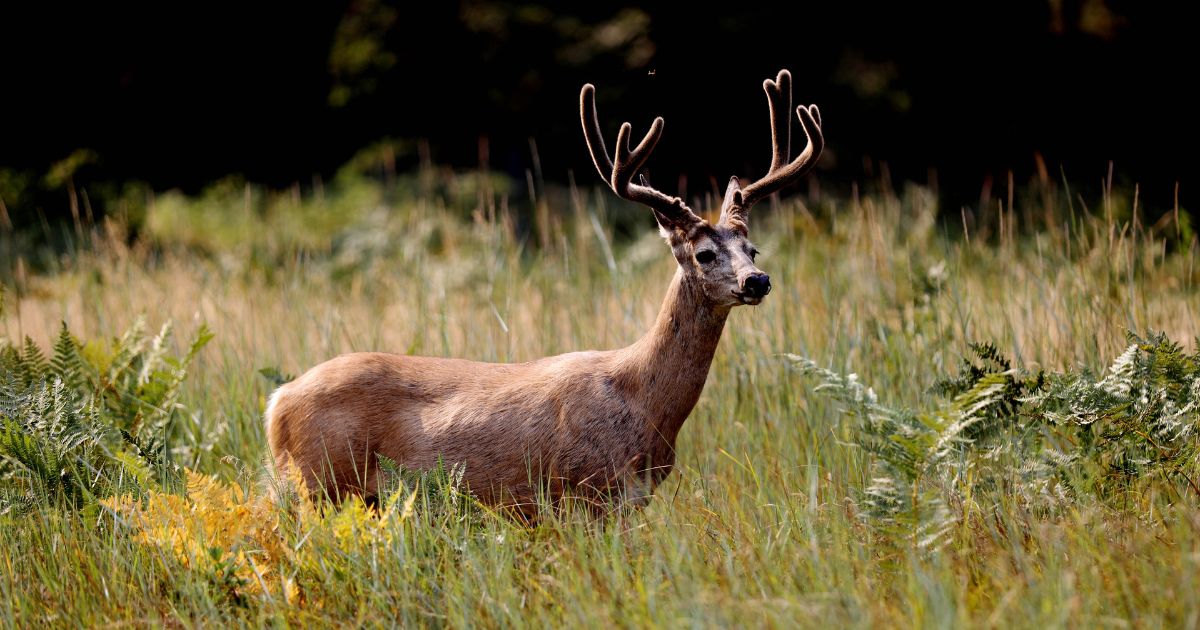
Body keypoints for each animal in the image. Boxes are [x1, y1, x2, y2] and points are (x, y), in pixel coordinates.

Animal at [264, 71, 825, 518]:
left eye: (752, 248)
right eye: (705, 253)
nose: (757, 281)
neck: (643, 402)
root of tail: (276, 403)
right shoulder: (587, 490)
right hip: (320, 481)